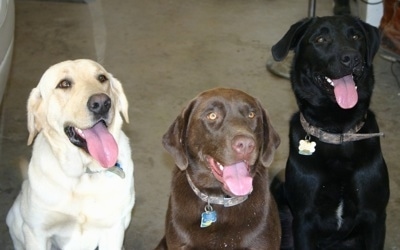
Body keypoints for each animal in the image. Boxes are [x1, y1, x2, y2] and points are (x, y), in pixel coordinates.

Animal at [6, 59, 135, 250]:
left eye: (102, 78)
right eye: (64, 84)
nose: (102, 103)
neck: (84, 175)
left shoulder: (113, 230)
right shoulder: (36, 232)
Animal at [270, 16, 390, 250]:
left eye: (356, 36)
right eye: (320, 39)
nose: (352, 58)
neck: (338, 132)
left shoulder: (375, 218)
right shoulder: (304, 221)